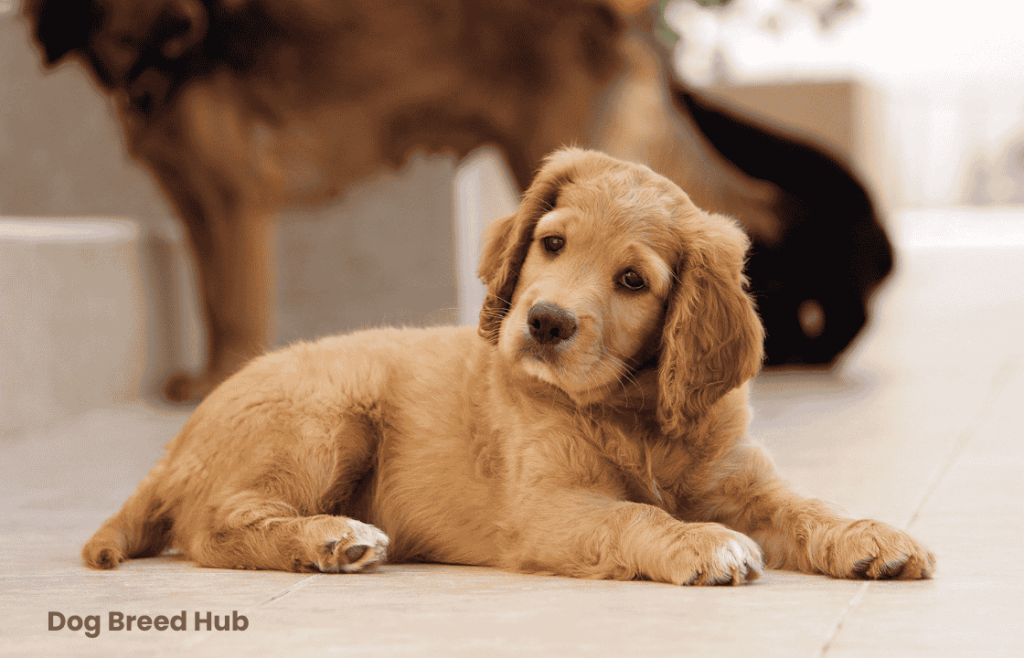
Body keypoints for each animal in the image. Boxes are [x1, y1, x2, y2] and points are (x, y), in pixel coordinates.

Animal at [19, 0, 892, 401]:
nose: (186, 25)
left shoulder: (234, 201)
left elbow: (233, 302)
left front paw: (222, 376)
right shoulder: (199, 204)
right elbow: (209, 297)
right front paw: (208, 375)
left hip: (589, 147)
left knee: (753, 217)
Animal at [81, 150, 937, 585]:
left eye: (634, 281)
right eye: (551, 244)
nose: (545, 322)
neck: (630, 411)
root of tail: (176, 449)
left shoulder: (741, 482)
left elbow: (806, 508)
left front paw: (869, 535)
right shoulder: (547, 507)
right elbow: (637, 516)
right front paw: (702, 544)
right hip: (325, 417)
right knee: (216, 524)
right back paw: (329, 539)